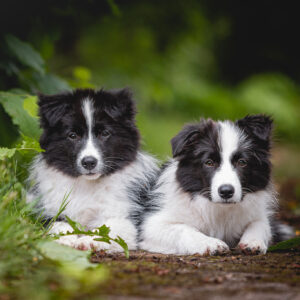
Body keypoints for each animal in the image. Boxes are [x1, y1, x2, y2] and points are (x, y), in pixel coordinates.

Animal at [27, 88, 158, 251]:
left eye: (104, 133)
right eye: (72, 135)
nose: (89, 162)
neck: (87, 185)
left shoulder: (126, 219)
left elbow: (105, 229)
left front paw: (88, 240)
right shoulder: (49, 211)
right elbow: (57, 224)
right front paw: (65, 238)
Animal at [140, 115, 292, 255]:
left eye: (242, 162)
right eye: (209, 162)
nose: (226, 192)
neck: (219, 208)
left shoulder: (257, 215)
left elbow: (261, 224)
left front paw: (253, 241)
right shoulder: (151, 225)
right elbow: (183, 229)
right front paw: (210, 243)